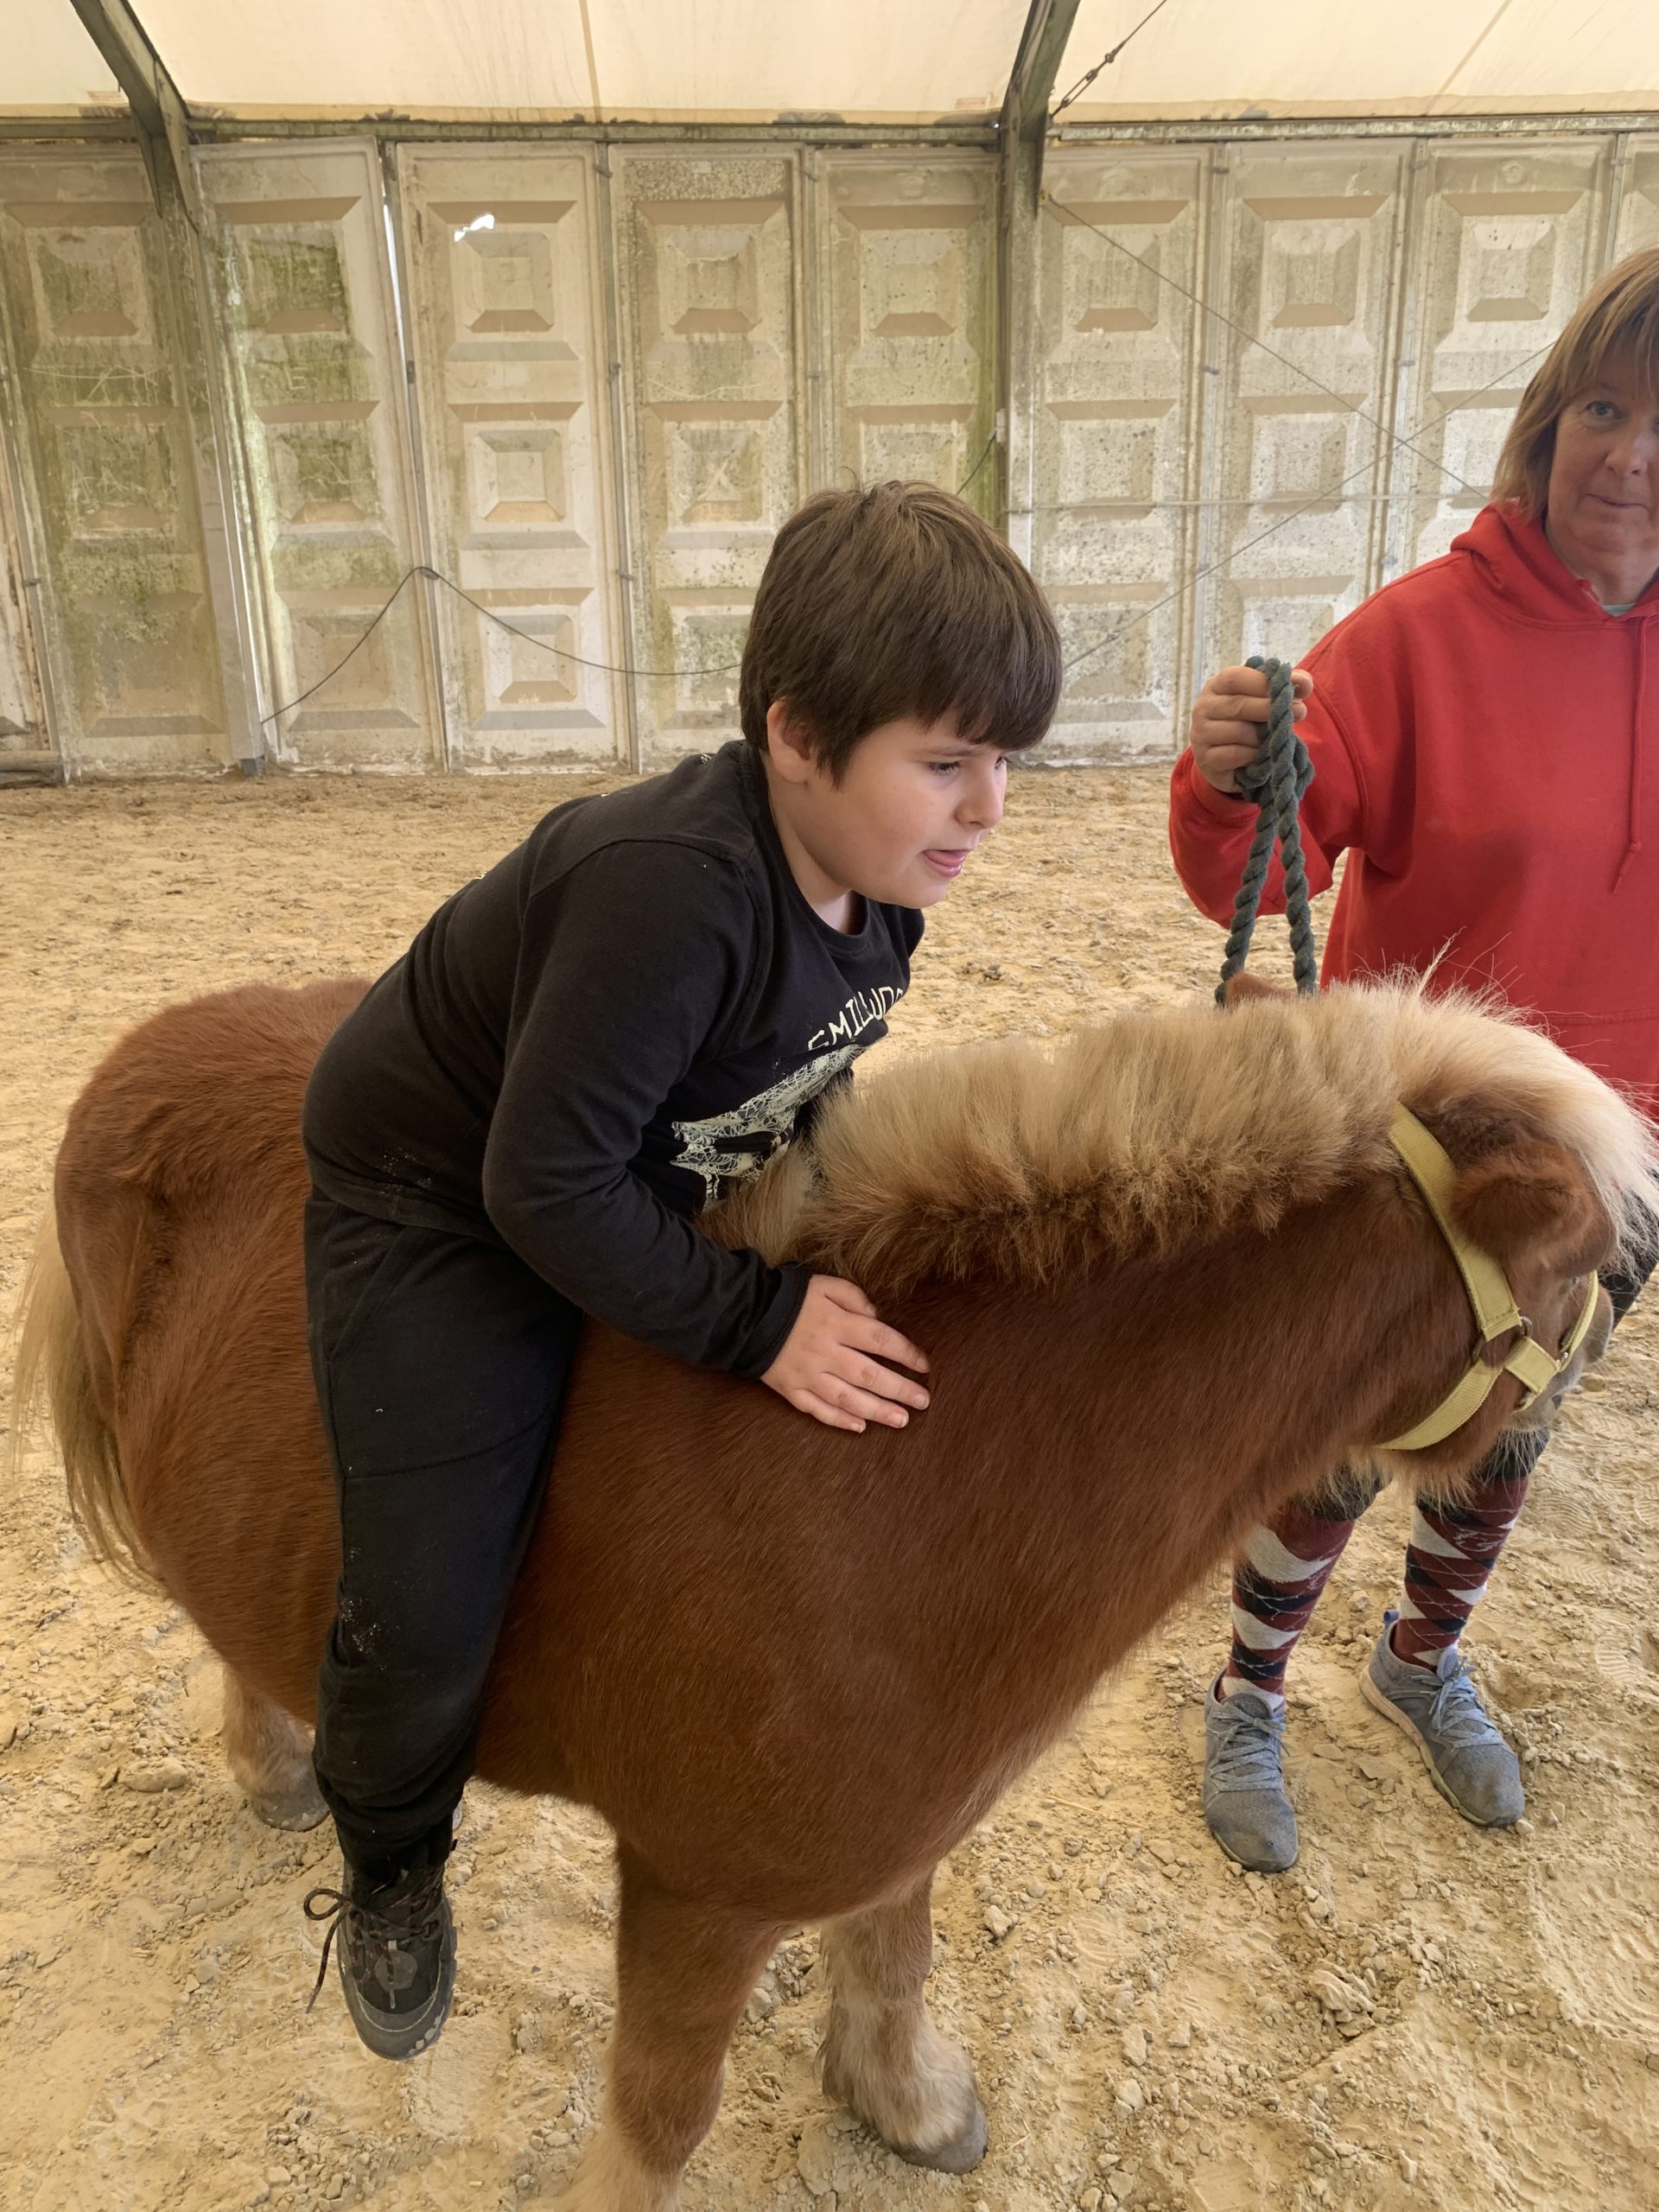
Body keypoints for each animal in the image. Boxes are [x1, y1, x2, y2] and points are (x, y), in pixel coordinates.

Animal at [14, 972, 1653, 2212]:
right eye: (1587, 1254)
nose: (1537, 1433)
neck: (891, 1465)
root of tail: (150, 1046)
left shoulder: (906, 1816)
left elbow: (896, 1950)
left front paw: (905, 2105)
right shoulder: (694, 1889)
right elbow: (664, 2112)